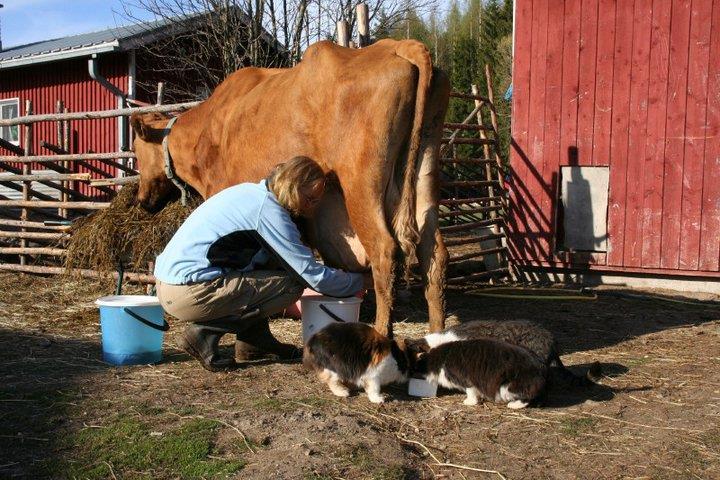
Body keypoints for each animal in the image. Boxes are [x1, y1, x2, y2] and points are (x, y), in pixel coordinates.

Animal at [127, 38, 448, 338]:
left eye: (137, 153)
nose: (142, 200)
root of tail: (400, 45)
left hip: (361, 182)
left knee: (384, 250)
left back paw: (382, 335)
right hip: (425, 169)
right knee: (433, 252)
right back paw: (437, 335)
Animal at [410, 338, 544, 408]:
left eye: (415, 366)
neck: (441, 357)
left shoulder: (466, 380)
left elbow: (471, 393)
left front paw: (469, 402)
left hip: (507, 387)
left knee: (527, 397)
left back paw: (513, 405)